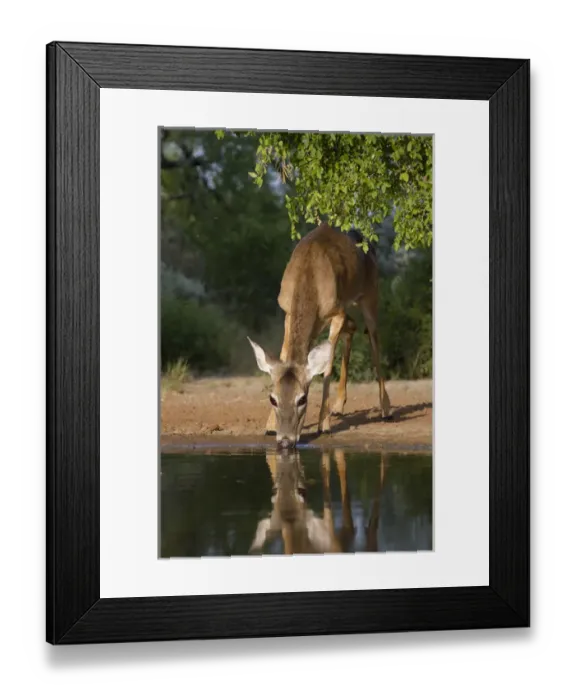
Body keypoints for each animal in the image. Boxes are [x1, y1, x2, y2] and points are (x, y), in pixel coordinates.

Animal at [247, 222, 391, 450]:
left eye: (302, 399)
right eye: (273, 398)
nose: (285, 441)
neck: (309, 275)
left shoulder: (336, 311)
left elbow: (327, 366)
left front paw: (324, 425)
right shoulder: (288, 311)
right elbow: (284, 354)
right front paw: (269, 425)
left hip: (370, 296)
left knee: (374, 339)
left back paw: (386, 409)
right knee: (353, 327)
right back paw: (339, 406)